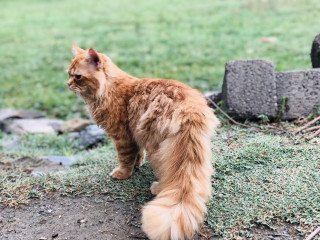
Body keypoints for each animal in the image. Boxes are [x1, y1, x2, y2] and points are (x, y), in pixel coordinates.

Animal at [67, 46, 220, 239]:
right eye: (68, 74)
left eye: (77, 77)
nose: (68, 84)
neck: (108, 90)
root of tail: (189, 111)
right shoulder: (134, 134)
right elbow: (137, 153)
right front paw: (137, 164)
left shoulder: (122, 137)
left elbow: (124, 159)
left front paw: (123, 173)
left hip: (157, 150)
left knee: (167, 174)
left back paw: (157, 188)